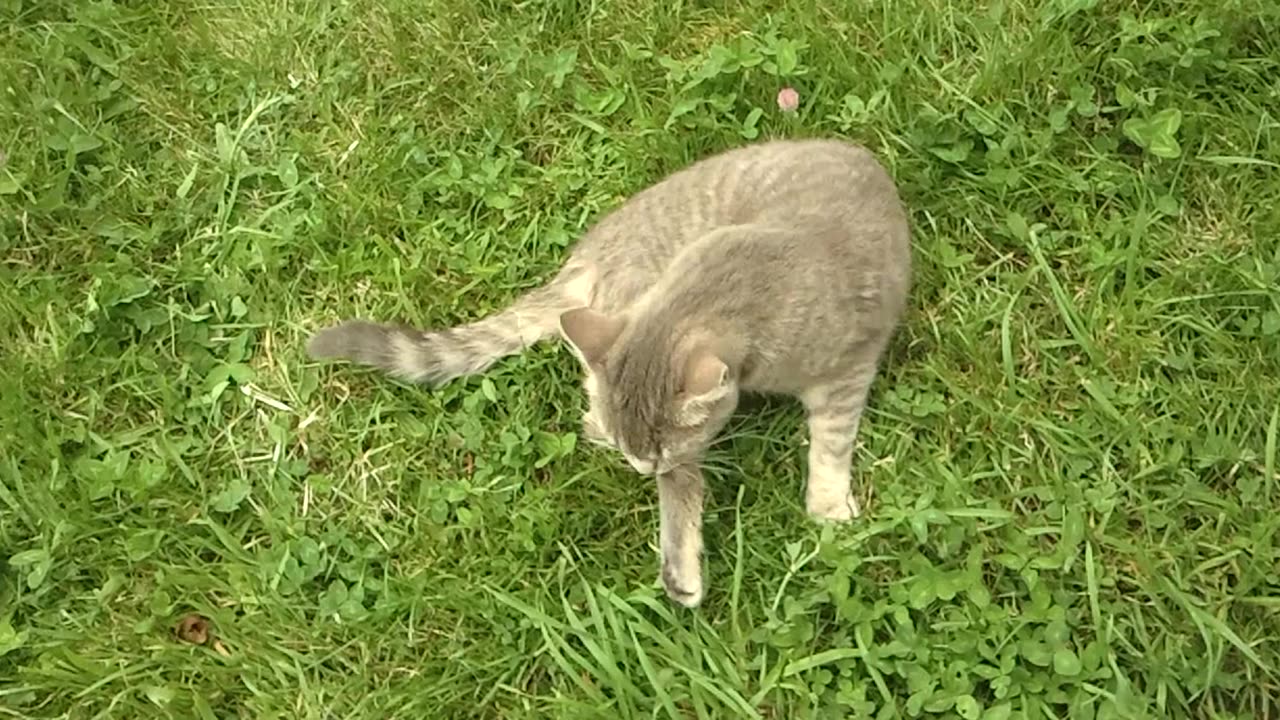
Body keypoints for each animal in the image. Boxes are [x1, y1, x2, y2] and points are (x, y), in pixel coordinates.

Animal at [307, 135, 911, 604]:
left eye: (653, 451)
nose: (640, 466)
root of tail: (585, 259)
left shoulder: (847, 366)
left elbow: (830, 440)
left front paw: (827, 503)